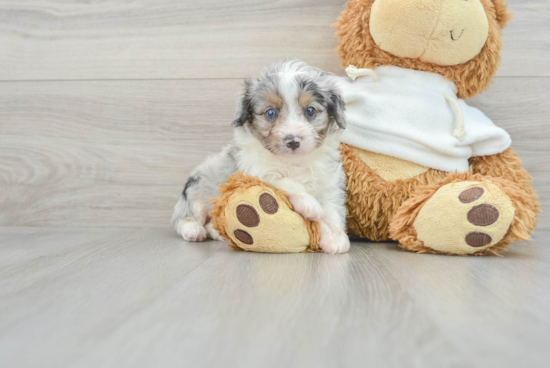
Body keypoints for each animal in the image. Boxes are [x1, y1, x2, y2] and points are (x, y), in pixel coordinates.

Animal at [172, 61, 352, 256]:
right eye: (270, 113)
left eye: (310, 110)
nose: (292, 141)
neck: (294, 162)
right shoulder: (257, 172)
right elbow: (286, 181)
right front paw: (309, 203)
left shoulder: (329, 183)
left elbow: (332, 211)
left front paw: (335, 237)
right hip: (195, 192)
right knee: (184, 218)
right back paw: (193, 230)